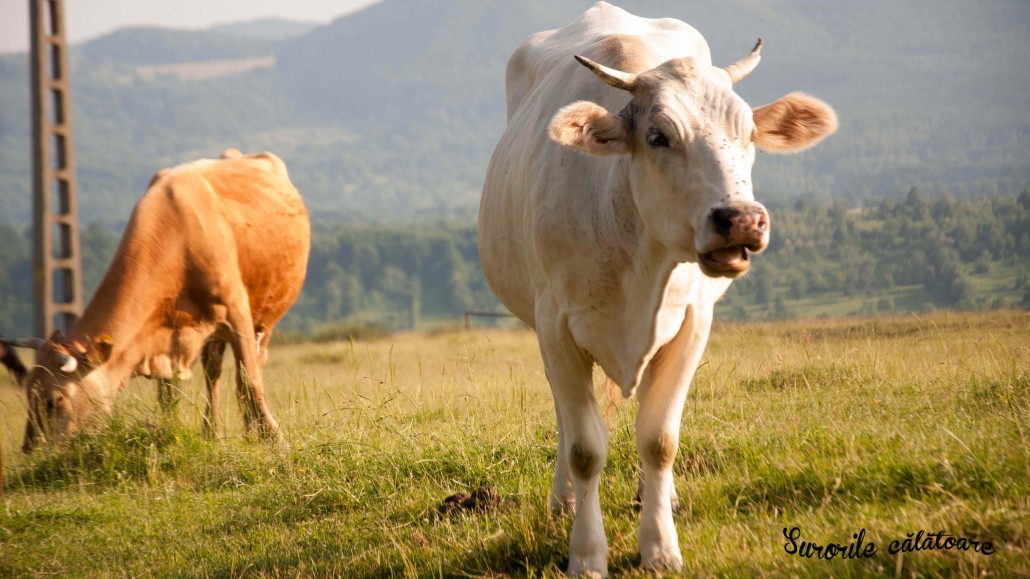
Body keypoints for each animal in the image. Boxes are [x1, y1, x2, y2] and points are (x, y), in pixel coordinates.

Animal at [16, 148, 310, 452]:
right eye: (28, 394)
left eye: (54, 401)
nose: (29, 452)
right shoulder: (165, 335)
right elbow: (168, 397)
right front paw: (171, 432)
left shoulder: (237, 312)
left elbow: (250, 382)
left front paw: (275, 439)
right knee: (213, 371)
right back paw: (212, 431)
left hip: (266, 316)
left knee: (253, 367)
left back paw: (251, 431)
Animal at [478, 3, 837, 575]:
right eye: (658, 136)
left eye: (748, 134)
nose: (741, 219)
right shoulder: (556, 327)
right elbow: (585, 447)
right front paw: (587, 553)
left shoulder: (691, 324)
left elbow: (659, 439)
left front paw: (661, 546)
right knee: (566, 421)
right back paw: (564, 498)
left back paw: (657, 496)